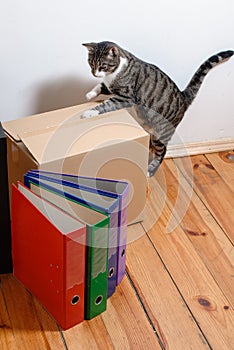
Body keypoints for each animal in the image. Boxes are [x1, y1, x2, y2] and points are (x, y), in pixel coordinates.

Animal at [81, 41, 233, 176]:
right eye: (91, 64)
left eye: (103, 65)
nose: (94, 73)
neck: (114, 73)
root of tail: (183, 97)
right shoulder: (110, 87)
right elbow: (99, 86)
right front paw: (89, 94)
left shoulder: (125, 97)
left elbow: (106, 104)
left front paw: (89, 112)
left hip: (161, 134)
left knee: (162, 151)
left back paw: (150, 170)